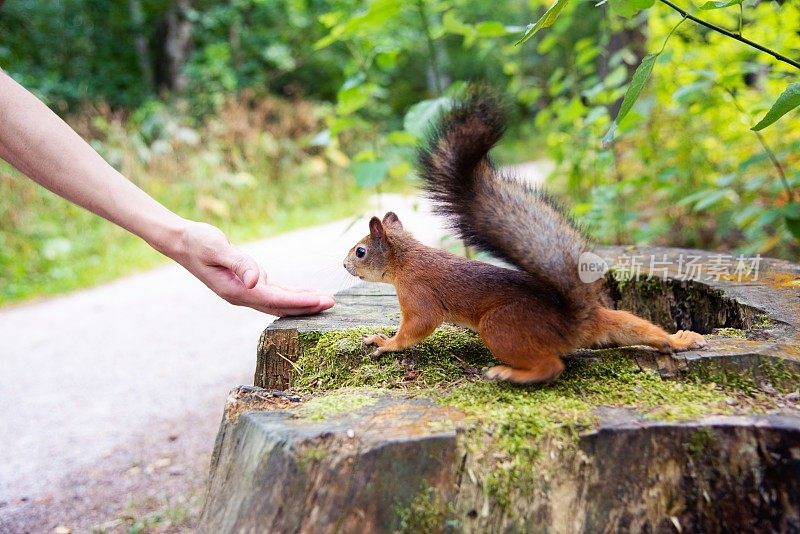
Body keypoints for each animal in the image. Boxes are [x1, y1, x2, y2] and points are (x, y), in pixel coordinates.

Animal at [340, 88, 708, 386]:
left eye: (360, 252)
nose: (343, 266)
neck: (405, 259)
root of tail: (574, 324)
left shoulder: (418, 294)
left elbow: (416, 328)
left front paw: (384, 343)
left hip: (501, 326)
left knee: (552, 365)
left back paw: (509, 374)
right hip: (618, 319)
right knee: (643, 330)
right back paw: (682, 340)